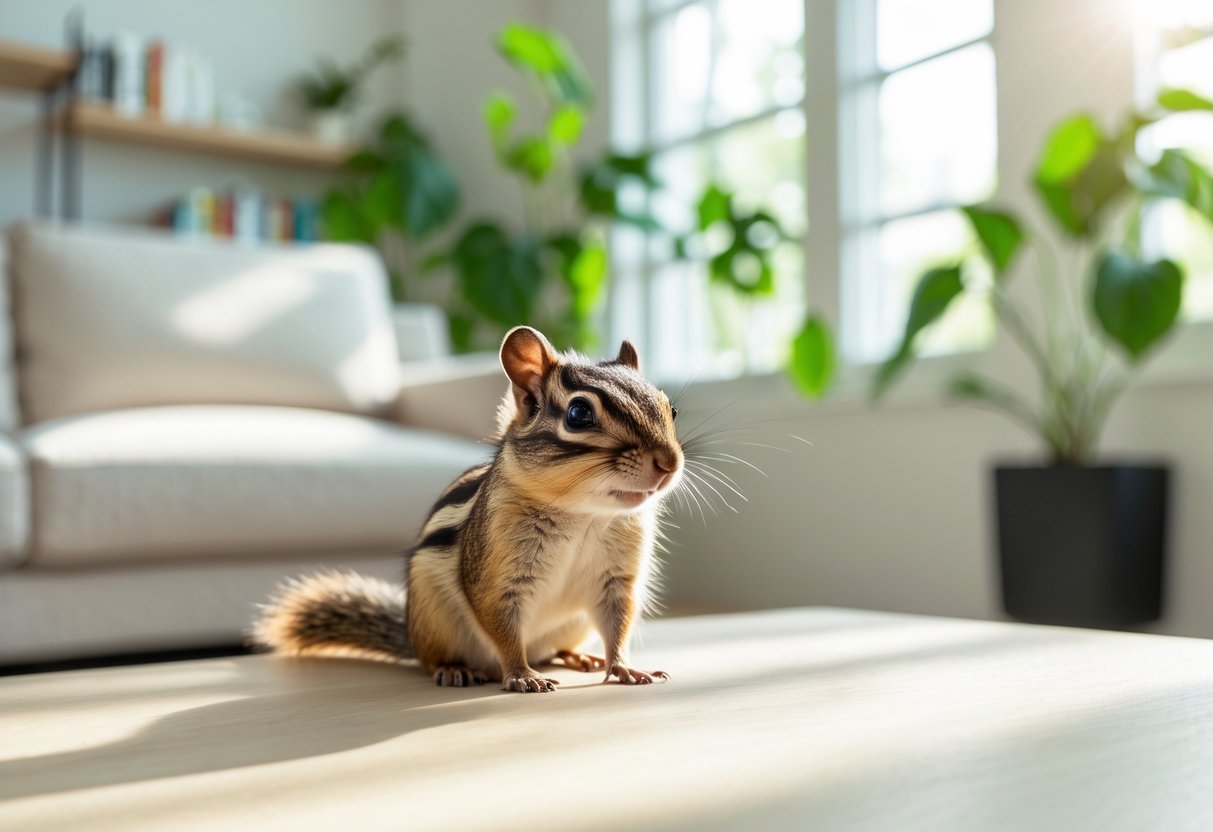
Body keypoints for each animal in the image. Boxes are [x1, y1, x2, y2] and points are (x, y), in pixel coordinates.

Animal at [253, 326, 684, 693]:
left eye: (670, 409)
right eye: (579, 414)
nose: (670, 462)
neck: (584, 515)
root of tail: (412, 636)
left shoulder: (617, 581)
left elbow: (618, 625)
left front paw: (625, 667)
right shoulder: (495, 579)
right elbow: (504, 630)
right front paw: (522, 675)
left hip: (572, 625)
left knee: (555, 649)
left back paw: (577, 656)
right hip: (436, 622)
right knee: (433, 661)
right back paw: (455, 669)